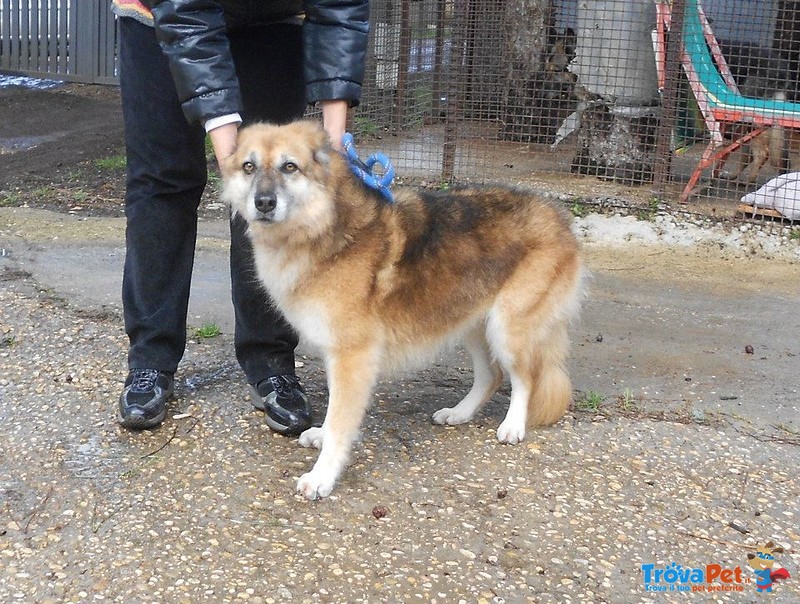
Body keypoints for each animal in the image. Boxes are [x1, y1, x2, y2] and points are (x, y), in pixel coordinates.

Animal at [222, 119, 584, 500]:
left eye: (289, 166)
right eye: (249, 166)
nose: (263, 203)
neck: (325, 227)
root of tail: (558, 218)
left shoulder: (352, 356)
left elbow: (340, 420)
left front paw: (322, 475)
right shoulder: (338, 354)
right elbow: (336, 410)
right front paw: (321, 438)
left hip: (507, 329)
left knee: (524, 378)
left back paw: (513, 425)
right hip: (471, 323)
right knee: (491, 376)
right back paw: (460, 413)